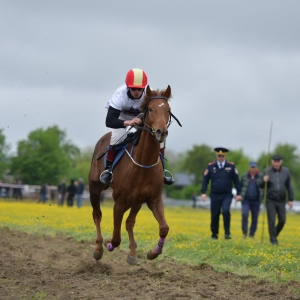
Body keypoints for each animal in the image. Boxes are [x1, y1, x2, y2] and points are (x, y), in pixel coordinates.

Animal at [88, 84, 179, 264]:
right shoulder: (119, 202)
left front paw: (153, 252)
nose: (161, 132)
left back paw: (132, 253)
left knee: (130, 222)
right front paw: (108, 244)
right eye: (150, 109)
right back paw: (98, 248)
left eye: (168, 110)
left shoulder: (153, 199)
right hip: (94, 188)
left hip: (137, 201)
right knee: (97, 215)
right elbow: (116, 238)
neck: (143, 163)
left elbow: (164, 228)